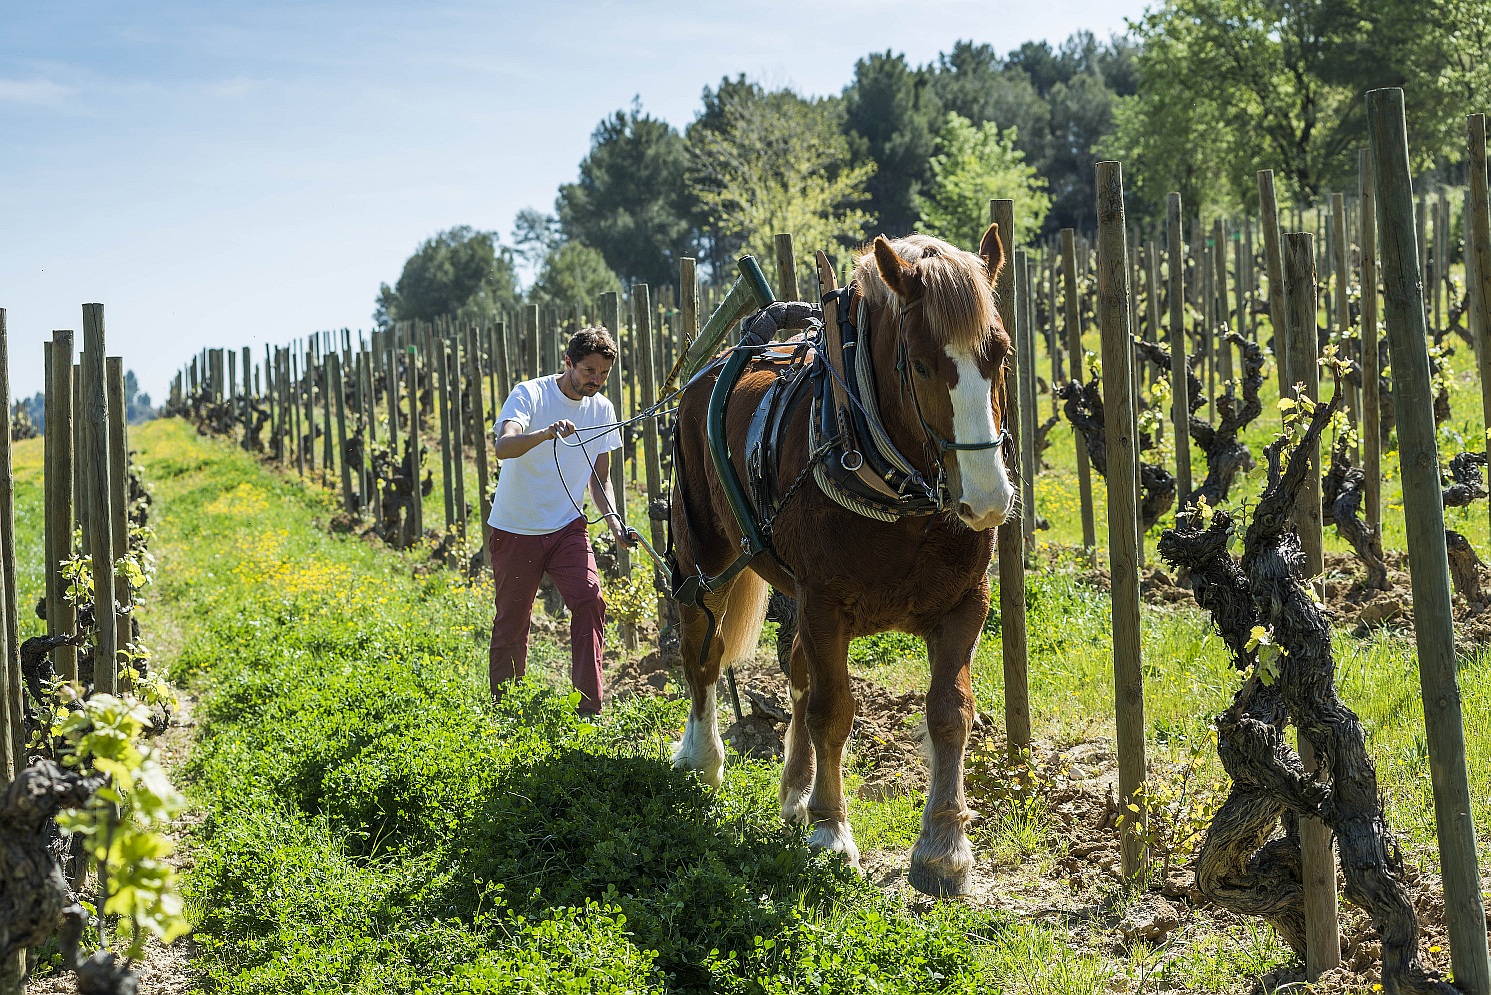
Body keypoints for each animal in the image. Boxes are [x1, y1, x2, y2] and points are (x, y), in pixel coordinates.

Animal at [673, 229, 1013, 901]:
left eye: (1001, 354)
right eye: (920, 364)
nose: (988, 498)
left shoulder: (965, 605)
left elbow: (949, 713)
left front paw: (944, 849)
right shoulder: (826, 604)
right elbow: (834, 712)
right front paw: (831, 836)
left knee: (798, 673)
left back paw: (796, 790)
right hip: (704, 550)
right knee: (703, 646)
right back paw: (702, 755)